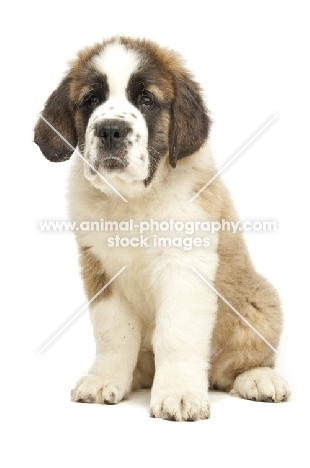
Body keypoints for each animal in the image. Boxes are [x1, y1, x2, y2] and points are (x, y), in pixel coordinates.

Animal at [35, 36, 290, 422]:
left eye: (146, 100)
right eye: (91, 100)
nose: (110, 130)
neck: (131, 200)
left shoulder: (184, 267)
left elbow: (176, 333)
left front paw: (179, 394)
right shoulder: (100, 271)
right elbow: (114, 332)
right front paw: (105, 379)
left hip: (260, 302)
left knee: (239, 364)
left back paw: (259, 379)